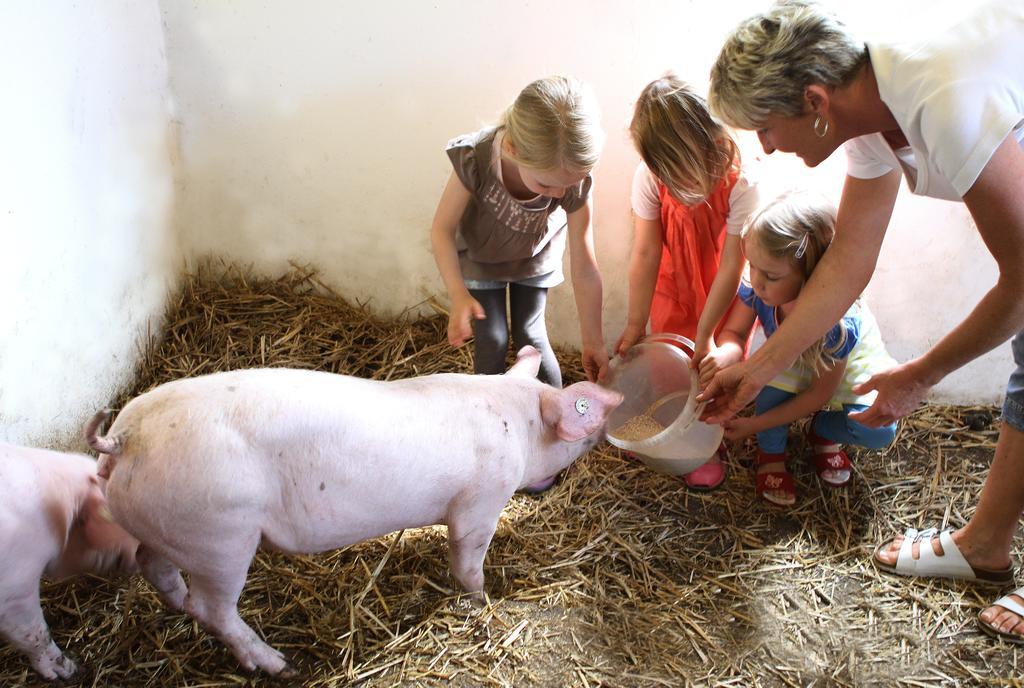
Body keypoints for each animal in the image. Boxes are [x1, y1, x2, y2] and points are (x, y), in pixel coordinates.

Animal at [83, 346, 618, 675]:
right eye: (580, 424)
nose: (602, 435)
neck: (515, 421)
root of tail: (124, 439)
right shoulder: (480, 500)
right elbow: (468, 555)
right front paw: (481, 598)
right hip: (219, 535)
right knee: (213, 609)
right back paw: (280, 666)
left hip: (163, 523)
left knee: (154, 567)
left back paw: (176, 604)